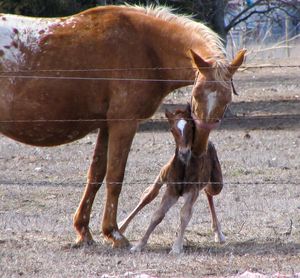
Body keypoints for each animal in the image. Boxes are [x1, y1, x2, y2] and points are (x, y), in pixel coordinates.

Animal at [118, 104, 224, 254]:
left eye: (191, 127)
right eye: (172, 130)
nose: (184, 153)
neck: (184, 168)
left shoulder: (192, 191)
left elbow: (185, 214)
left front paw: (176, 247)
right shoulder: (171, 191)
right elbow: (157, 214)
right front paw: (139, 245)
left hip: (216, 184)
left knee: (209, 193)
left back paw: (218, 233)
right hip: (162, 174)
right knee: (148, 195)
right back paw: (121, 226)